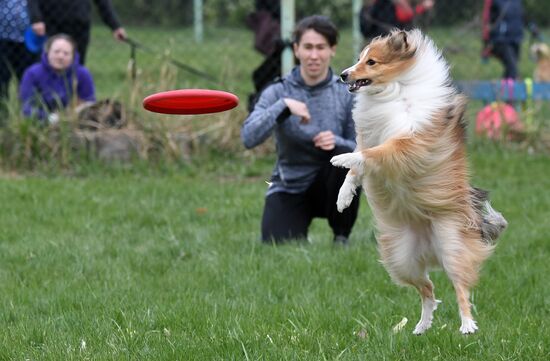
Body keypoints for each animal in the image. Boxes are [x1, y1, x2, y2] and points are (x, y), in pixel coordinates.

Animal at [332, 29, 508, 334]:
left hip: (451, 245)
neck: (395, 89)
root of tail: (428, 245)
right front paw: (343, 197)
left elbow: (373, 153)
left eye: (371, 62)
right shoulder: (370, 136)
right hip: (401, 259)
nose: (343, 75)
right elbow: (356, 168)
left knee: (460, 288)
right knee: (429, 290)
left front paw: (340, 157)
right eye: (360, 58)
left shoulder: (412, 144)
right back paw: (421, 327)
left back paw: (467, 326)